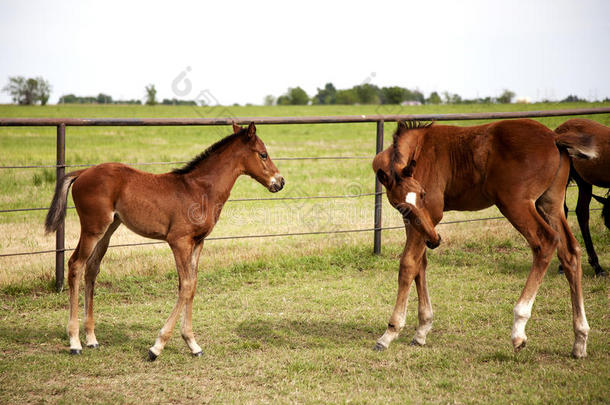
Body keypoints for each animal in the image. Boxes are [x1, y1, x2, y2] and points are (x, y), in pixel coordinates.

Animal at [44, 121, 282, 358]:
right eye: (263, 154)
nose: (280, 182)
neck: (200, 189)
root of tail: (83, 172)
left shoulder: (198, 242)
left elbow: (192, 285)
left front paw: (193, 344)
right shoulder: (179, 242)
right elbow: (185, 285)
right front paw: (157, 346)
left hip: (108, 229)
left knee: (92, 269)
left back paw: (91, 338)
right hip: (93, 229)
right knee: (76, 265)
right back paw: (75, 342)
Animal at [370, 117, 592, 356]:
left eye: (423, 194)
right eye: (403, 207)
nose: (436, 240)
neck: (419, 149)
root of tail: (553, 137)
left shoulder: (432, 215)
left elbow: (409, 264)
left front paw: (390, 332)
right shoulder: (414, 223)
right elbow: (420, 265)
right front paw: (421, 330)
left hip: (515, 204)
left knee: (546, 242)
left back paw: (519, 328)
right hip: (550, 203)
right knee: (570, 252)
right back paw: (580, 339)